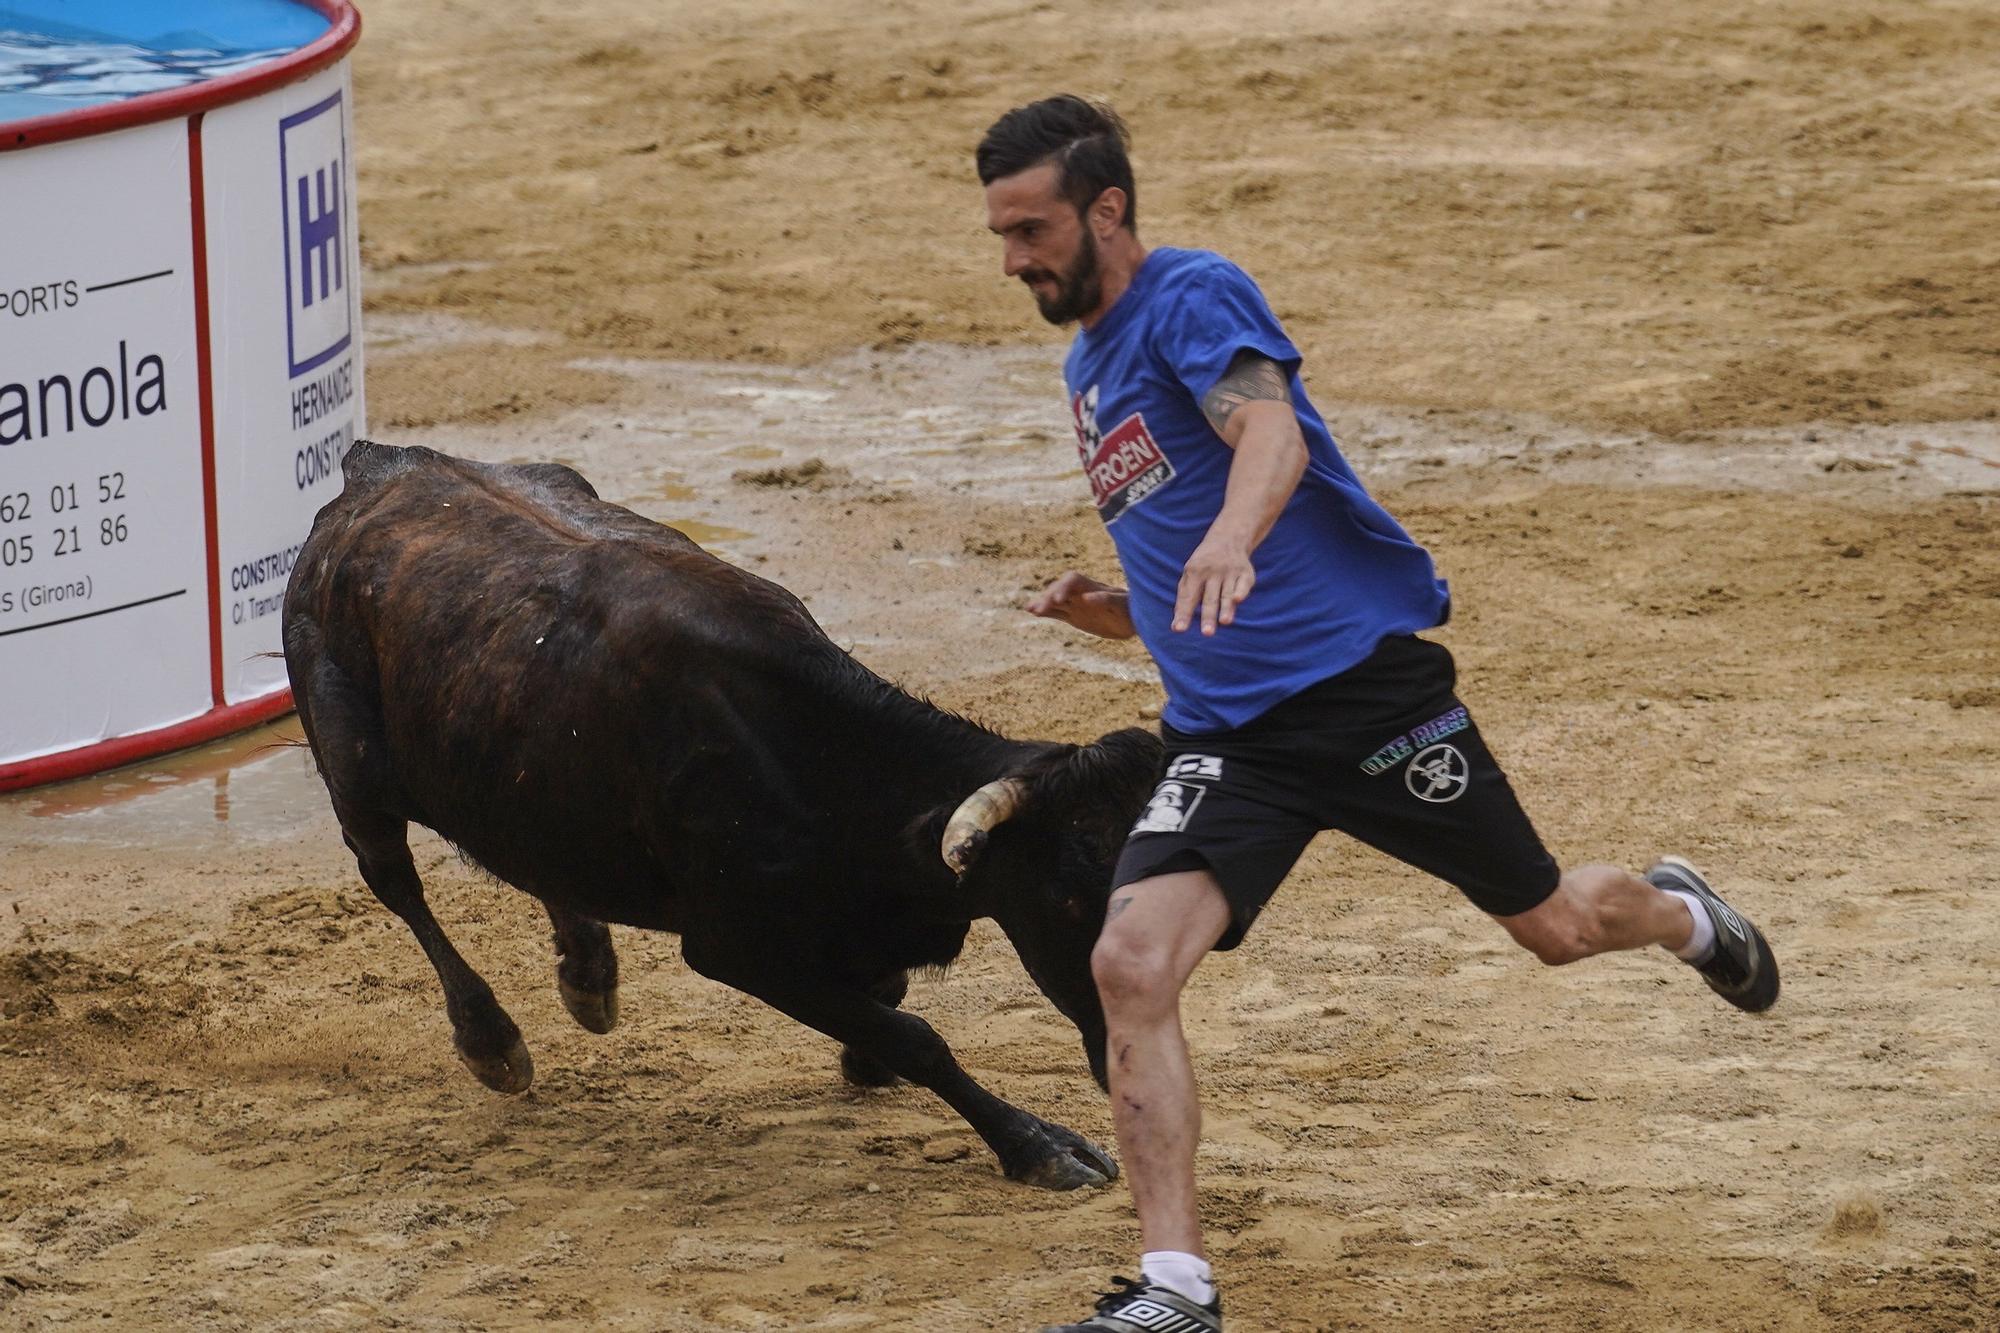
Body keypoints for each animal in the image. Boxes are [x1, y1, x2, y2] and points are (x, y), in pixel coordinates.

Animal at [280, 440, 1160, 1184]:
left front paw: (865, 1055)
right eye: (1068, 896)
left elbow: (889, 1001)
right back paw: (492, 1040)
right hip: (353, 773)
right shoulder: (735, 945)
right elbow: (916, 1037)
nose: (1127, 1050)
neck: (811, 755)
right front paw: (1040, 1146)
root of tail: (377, 466)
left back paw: (588, 976)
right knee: (396, 881)